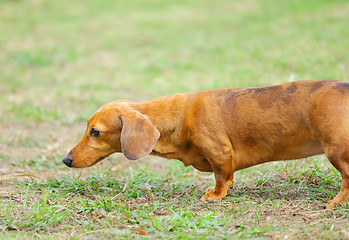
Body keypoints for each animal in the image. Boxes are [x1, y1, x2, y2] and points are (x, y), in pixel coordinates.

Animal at [62, 80, 348, 208]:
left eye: (95, 132)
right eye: (87, 127)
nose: (66, 160)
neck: (179, 116)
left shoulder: (219, 153)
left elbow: (222, 178)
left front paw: (215, 195)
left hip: (336, 151)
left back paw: (335, 202)